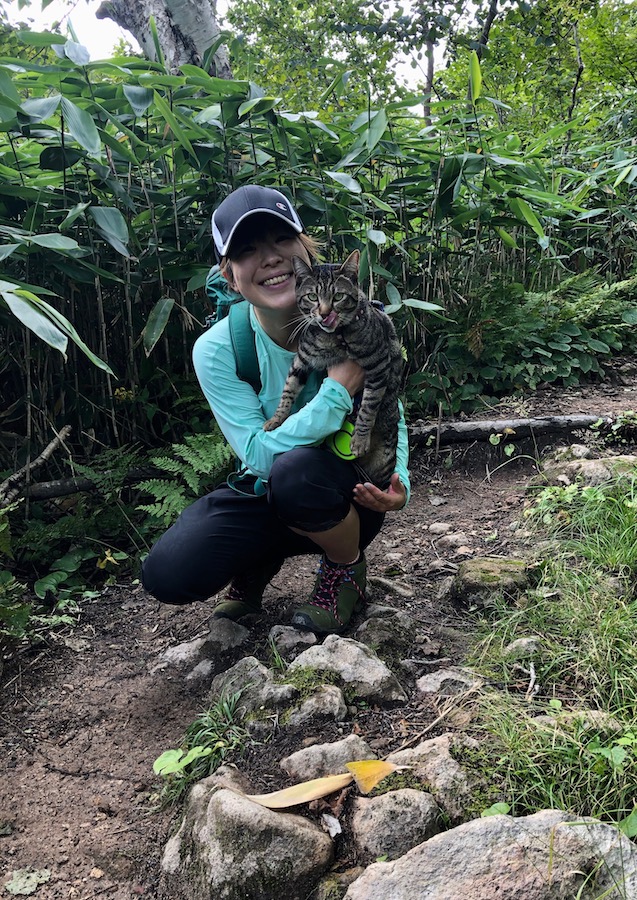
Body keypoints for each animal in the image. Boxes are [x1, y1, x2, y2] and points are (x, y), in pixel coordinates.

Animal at [263, 249, 403, 487]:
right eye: (312, 297)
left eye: (338, 297)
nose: (325, 313)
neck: (334, 338)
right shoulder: (302, 360)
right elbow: (288, 390)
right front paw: (276, 418)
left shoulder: (378, 364)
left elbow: (368, 405)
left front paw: (359, 439)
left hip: (384, 463)